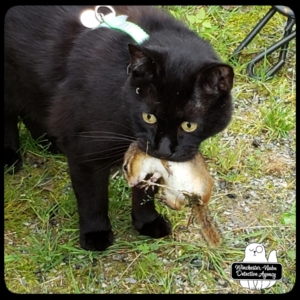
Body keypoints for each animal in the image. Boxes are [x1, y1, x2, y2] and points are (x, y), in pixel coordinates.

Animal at [5, 6, 234, 251]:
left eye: (188, 125)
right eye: (149, 116)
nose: (163, 149)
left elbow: (145, 191)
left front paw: (147, 222)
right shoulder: (85, 150)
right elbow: (93, 198)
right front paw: (95, 234)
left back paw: (49, 141)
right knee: (9, 114)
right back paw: (10, 159)